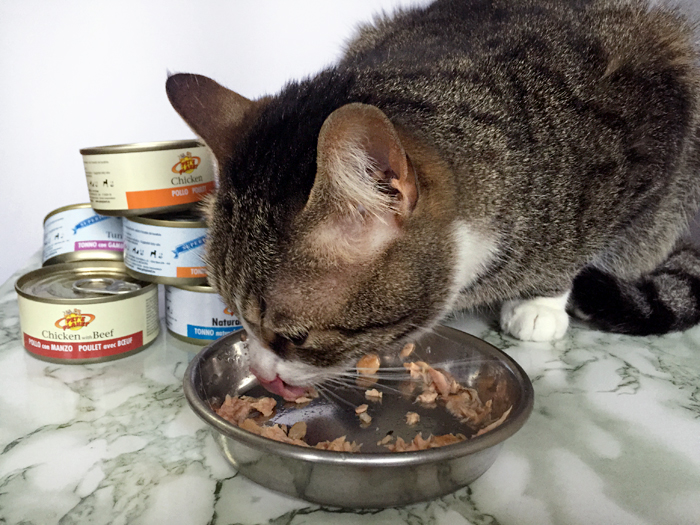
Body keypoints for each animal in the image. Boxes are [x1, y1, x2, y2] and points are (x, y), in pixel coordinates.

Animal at [167, 0, 700, 399]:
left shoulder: (652, 144)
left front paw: (542, 300)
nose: (265, 376)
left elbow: (583, 238)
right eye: (229, 313)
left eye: (296, 337)